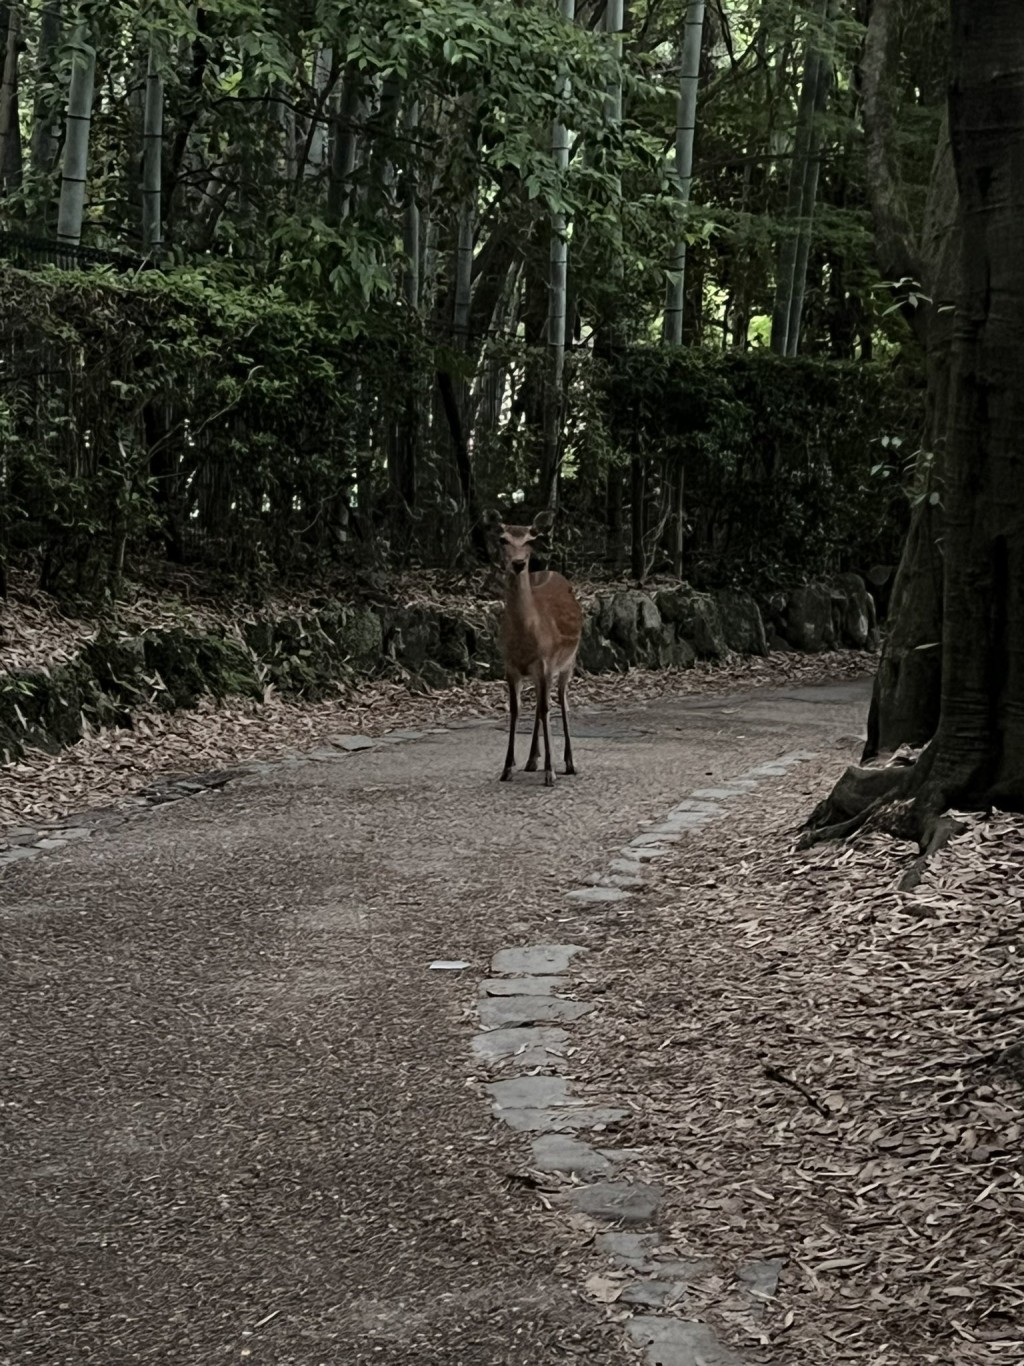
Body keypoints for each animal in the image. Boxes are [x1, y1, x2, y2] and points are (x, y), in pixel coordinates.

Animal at [488, 510, 584, 792]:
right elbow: (516, 709)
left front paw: (550, 772)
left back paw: (569, 762)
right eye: (503, 539)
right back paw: (532, 759)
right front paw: (507, 768)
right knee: (541, 703)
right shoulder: (510, 665)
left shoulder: (546, 662)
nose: (519, 563)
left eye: (531, 540)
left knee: (561, 701)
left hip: (569, 661)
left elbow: (546, 708)